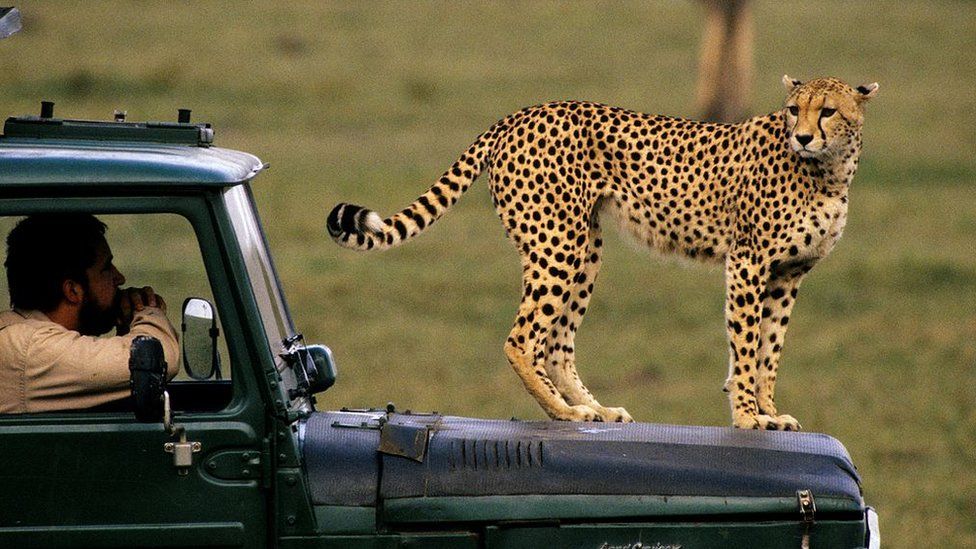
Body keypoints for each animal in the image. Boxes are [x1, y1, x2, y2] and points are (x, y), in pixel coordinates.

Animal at [328, 76, 876, 428]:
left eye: (827, 110)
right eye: (794, 110)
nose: (802, 136)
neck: (828, 170)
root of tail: (520, 114)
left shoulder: (789, 273)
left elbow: (770, 349)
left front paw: (769, 410)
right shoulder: (748, 262)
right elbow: (744, 346)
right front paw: (746, 416)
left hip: (584, 245)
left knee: (557, 343)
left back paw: (595, 410)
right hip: (558, 242)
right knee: (522, 339)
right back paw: (564, 412)